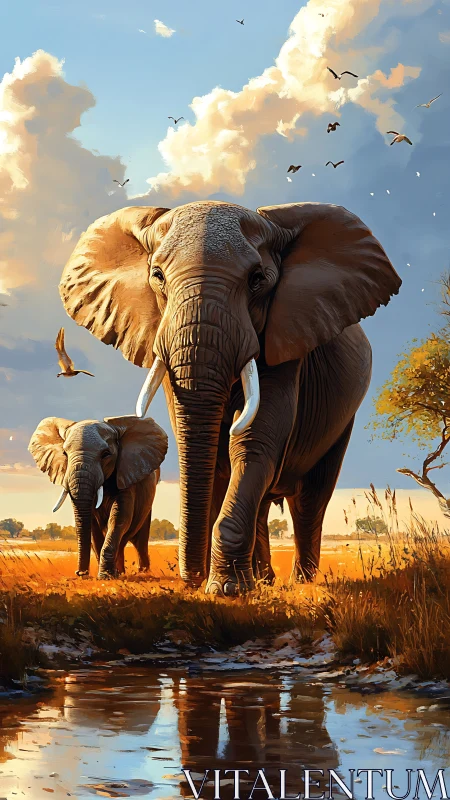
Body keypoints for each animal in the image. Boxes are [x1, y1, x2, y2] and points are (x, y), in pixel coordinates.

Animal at [28, 415, 168, 578]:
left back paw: (141, 572)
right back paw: (120, 572)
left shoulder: (126, 476)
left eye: (106, 454)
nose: (80, 573)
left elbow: (119, 517)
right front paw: (105, 575)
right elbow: (92, 524)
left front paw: (105, 576)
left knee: (140, 541)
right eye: (64, 454)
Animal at [59, 200, 401, 594]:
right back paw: (264, 580)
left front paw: (226, 589)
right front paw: (218, 584)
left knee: (310, 498)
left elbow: (253, 439)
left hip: (342, 417)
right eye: (157, 275)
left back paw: (301, 581)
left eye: (258, 279)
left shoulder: (285, 339)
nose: (190, 579)